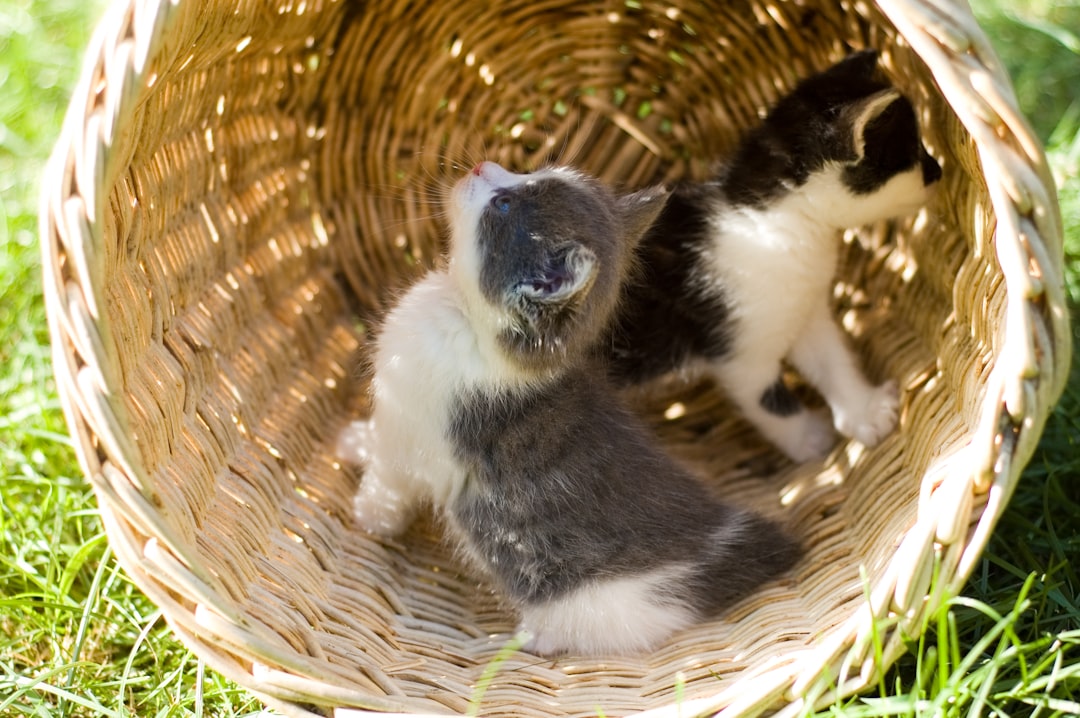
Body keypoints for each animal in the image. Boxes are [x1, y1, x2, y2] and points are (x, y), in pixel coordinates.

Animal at [339, 161, 803, 656]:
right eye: (527, 172)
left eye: (503, 205)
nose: (482, 165)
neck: (473, 331)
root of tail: (716, 553)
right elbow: (375, 438)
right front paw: (356, 439)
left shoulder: (412, 437)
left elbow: (388, 482)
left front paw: (370, 518)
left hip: (602, 607)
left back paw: (530, 639)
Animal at [604, 53, 941, 462]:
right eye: (914, 153)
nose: (939, 170)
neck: (771, 221)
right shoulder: (738, 351)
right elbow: (769, 401)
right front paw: (812, 439)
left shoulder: (803, 308)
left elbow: (832, 358)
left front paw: (863, 409)